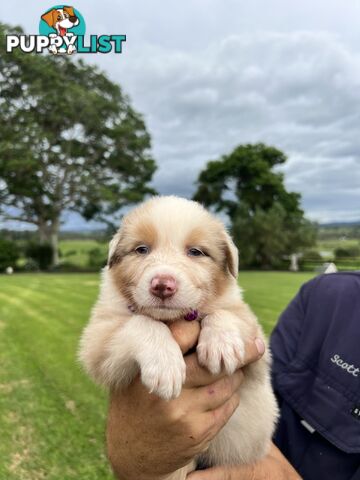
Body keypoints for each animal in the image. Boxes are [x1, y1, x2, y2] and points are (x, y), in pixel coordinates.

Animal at [79, 197, 278, 474]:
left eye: (195, 252)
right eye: (141, 249)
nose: (163, 285)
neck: (173, 318)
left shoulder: (258, 348)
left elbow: (225, 314)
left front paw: (222, 346)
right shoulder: (97, 339)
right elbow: (142, 322)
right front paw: (166, 367)